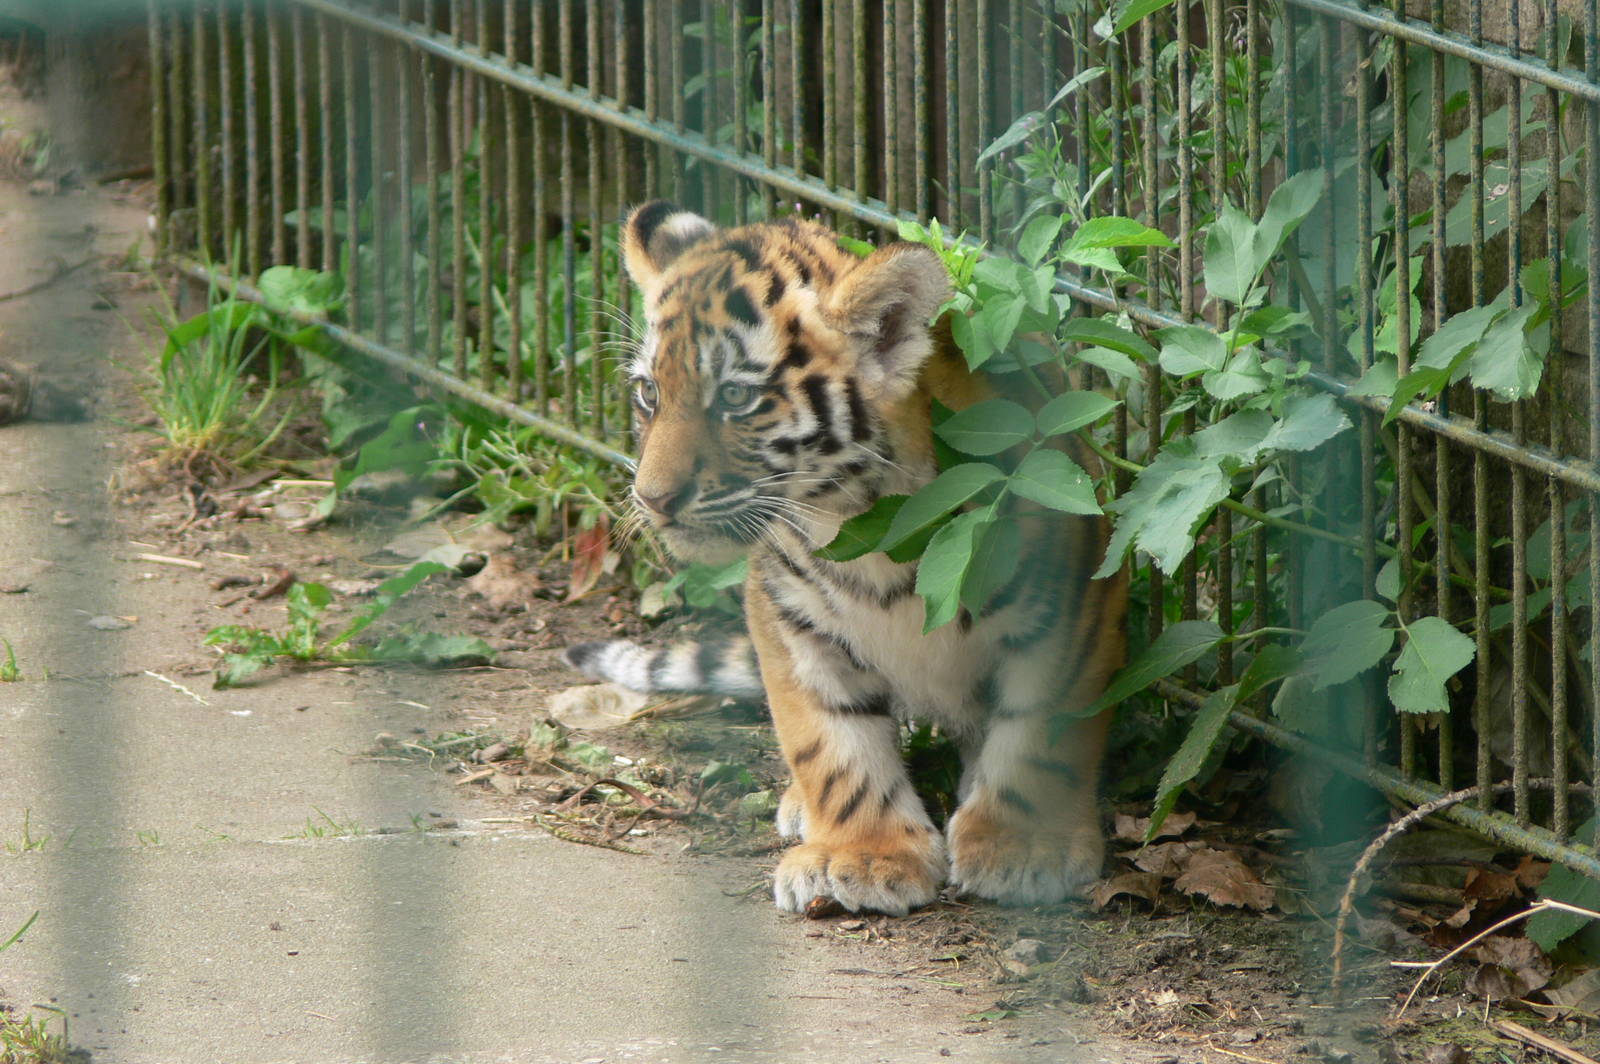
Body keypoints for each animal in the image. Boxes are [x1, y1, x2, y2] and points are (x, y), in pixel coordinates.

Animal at [564, 201, 1128, 915]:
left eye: (735, 397)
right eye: (648, 394)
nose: (652, 499)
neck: (855, 520)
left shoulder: (1074, 598)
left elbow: (1038, 737)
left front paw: (1025, 848)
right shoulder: (790, 620)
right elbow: (832, 745)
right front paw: (863, 857)